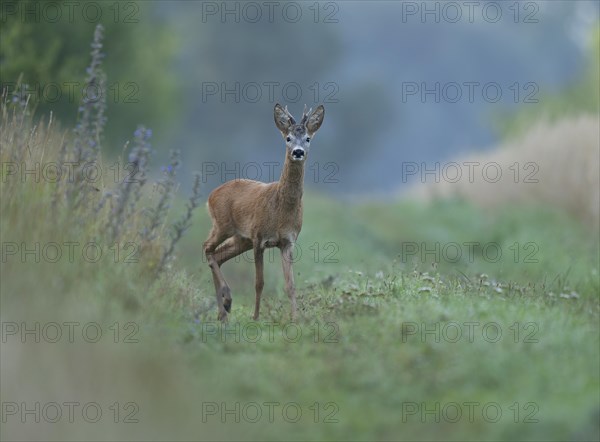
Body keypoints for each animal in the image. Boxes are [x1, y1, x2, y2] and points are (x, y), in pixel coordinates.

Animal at [203, 105, 326, 322]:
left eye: (308, 138)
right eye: (288, 138)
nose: (298, 152)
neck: (281, 211)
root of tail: (211, 195)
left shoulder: (287, 241)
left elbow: (290, 284)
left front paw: (295, 318)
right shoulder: (258, 237)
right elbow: (259, 282)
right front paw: (255, 317)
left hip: (240, 238)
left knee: (218, 255)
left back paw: (223, 312)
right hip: (222, 225)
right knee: (207, 248)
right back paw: (227, 301)